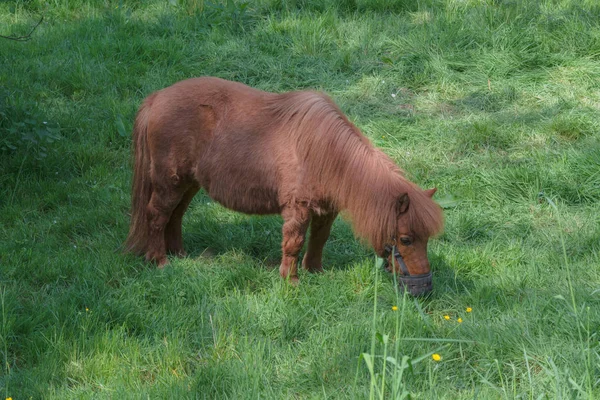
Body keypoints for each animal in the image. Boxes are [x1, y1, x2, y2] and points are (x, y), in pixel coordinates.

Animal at [124, 78, 442, 296]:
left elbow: (319, 240)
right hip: (170, 183)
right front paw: (291, 280)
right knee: (157, 216)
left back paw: (179, 254)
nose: (424, 286)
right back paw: (160, 261)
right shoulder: (297, 209)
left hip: (188, 184)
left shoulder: (326, 210)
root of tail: (156, 99)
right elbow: (294, 243)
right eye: (406, 239)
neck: (324, 152)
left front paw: (315, 272)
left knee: (175, 216)